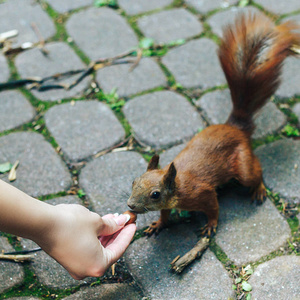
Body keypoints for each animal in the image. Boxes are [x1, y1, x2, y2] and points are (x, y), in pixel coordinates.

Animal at [126, 12, 300, 237]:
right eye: (134, 181)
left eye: (155, 194)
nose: (130, 205)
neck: (178, 186)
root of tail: (235, 127)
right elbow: (165, 214)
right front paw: (158, 224)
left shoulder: (203, 193)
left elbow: (214, 208)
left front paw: (210, 225)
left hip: (243, 165)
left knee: (255, 172)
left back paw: (259, 189)